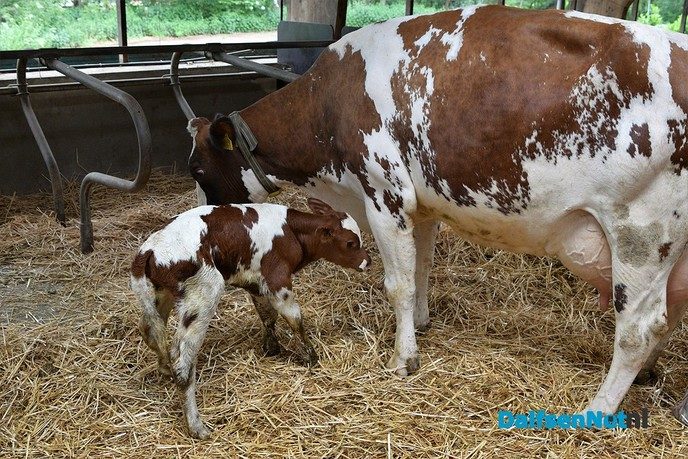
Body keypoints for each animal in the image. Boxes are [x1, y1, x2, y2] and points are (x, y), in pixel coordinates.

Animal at [131, 199, 370, 438]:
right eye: (350, 243)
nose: (367, 262)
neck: (291, 231)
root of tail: (149, 251)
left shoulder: (255, 282)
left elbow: (268, 315)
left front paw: (272, 347)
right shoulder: (277, 279)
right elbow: (294, 318)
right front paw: (311, 357)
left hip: (160, 295)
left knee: (149, 330)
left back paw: (164, 369)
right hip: (203, 293)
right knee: (182, 361)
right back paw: (197, 426)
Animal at [186, 5, 688, 421]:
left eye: (198, 168)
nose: (205, 221)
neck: (330, 101)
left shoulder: (385, 195)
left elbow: (398, 283)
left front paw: (403, 357)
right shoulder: (421, 204)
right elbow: (421, 267)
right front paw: (422, 323)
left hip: (641, 233)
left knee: (640, 328)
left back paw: (597, 409)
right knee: (670, 314)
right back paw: (647, 375)